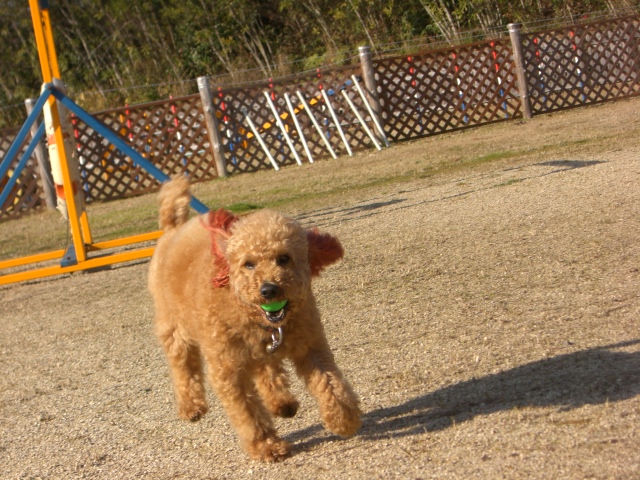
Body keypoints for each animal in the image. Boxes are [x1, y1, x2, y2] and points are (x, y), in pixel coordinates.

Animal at [148, 177, 361, 462]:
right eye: (248, 264)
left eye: (284, 258)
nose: (269, 289)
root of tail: (173, 230)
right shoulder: (228, 371)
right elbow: (248, 413)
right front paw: (266, 446)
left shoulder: (310, 345)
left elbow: (330, 384)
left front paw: (343, 418)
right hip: (174, 328)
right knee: (183, 366)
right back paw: (191, 405)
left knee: (265, 368)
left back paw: (282, 402)